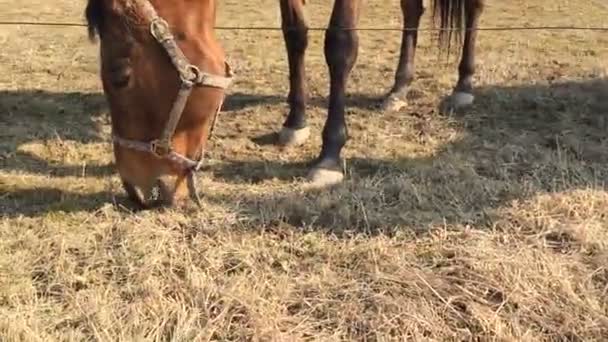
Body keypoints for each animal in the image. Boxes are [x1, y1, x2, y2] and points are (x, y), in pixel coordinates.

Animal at [276, 0, 484, 187]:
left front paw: (329, 156)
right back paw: (399, 89)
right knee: (412, 9)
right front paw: (296, 122)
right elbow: (295, 32)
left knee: (474, 7)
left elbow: (340, 42)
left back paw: (463, 85)